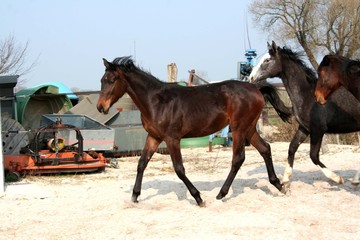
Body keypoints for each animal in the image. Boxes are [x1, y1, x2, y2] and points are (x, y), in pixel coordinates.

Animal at [97, 56, 292, 206]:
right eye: (101, 80)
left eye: (112, 80)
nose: (101, 107)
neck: (157, 101)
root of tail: (255, 88)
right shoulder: (153, 137)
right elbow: (141, 163)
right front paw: (135, 196)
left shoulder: (172, 138)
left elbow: (179, 169)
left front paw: (198, 198)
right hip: (249, 129)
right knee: (265, 149)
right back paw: (279, 185)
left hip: (239, 129)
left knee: (238, 158)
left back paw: (221, 194)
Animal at [250, 41, 360, 186]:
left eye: (267, 60)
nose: (251, 77)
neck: (307, 95)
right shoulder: (304, 128)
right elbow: (292, 148)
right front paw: (285, 180)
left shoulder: (318, 129)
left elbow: (313, 156)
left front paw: (337, 178)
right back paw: (356, 180)